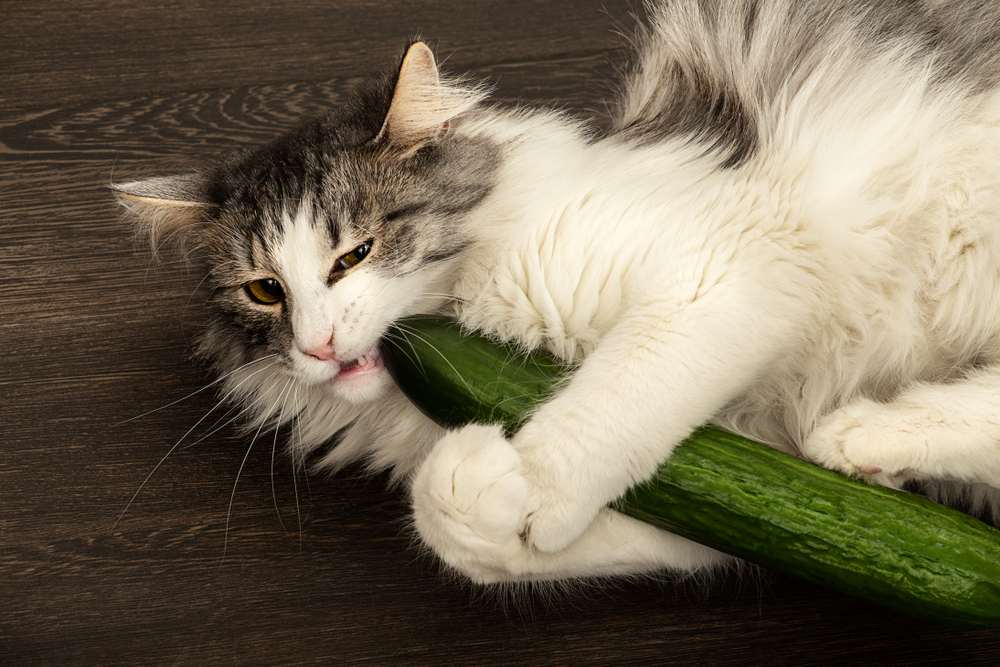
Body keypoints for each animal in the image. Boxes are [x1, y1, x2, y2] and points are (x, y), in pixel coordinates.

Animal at [113, 0, 1000, 580]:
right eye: (265, 290)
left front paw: (533, 484)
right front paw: (477, 485)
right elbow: (459, 533)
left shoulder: (729, 265)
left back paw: (862, 431)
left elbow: (609, 403)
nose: (319, 345)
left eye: (355, 253)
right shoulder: (749, 465)